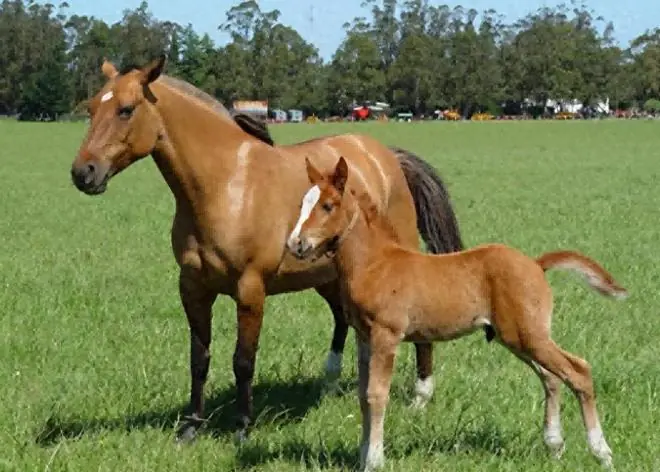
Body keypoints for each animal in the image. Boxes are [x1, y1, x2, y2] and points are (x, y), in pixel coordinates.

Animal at [68, 55, 464, 441]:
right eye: (92, 108)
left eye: (126, 109)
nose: (83, 172)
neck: (225, 185)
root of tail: (387, 157)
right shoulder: (193, 288)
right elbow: (199, 358)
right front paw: (192, 426)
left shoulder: (250, 290)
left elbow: (243, 361)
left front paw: (243, 426)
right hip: (328, 274)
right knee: (342, 319)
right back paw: (330, 385)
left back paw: (420, 396)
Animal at [286, 156, 627, 471]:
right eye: (302, 202)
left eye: (328, 205)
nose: (295, 244)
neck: (375, 262)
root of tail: (535, 264)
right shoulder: (364, 337)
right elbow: (363, 394)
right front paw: (362, 454)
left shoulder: (387, 335)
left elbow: (377, 394)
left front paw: (374, 460)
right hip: (517, 337)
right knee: (551, 377)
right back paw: (555, 446)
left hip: (528, 335)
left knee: (578, 370)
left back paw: (602, 453)